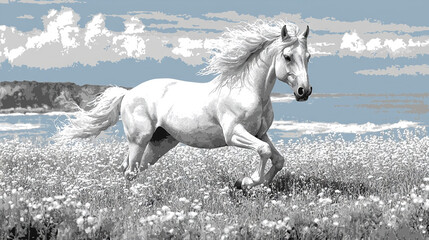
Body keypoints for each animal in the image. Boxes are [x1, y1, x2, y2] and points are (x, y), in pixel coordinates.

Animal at [57, 20, 310, 189]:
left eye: (308, 57)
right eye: (287, 56)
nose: (304, 92)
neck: (247, 90)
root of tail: (128, 94)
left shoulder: (260, 133)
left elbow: (277, 158)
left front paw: (255, 183)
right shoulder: (234, 134)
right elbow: (264, 151)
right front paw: (248, 181)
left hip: (160, 143)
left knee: (131, 168)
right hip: (139, 139)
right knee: (129, 170)